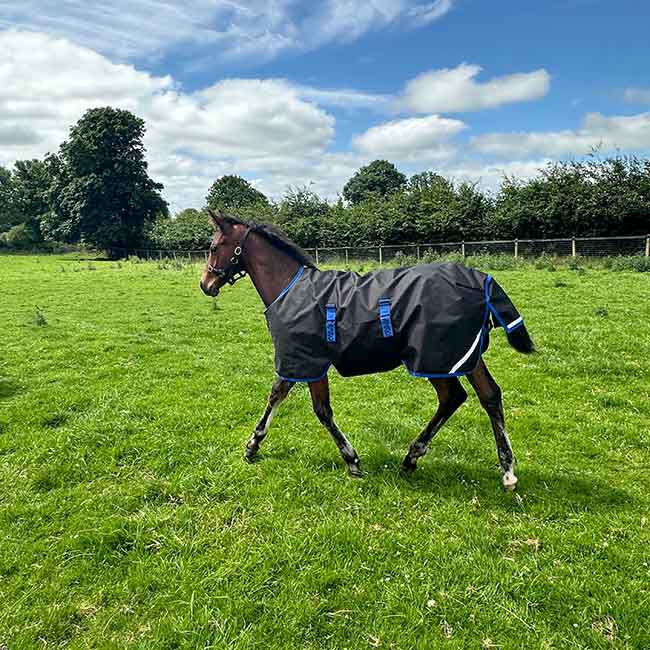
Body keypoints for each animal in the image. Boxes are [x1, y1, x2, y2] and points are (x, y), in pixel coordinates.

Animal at [199, 209, 534, 490]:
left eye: (214, 247)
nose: (205, 283)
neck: (290, 288)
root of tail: (481, 279)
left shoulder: (306, 360)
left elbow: (315, 408)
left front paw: (351, 461)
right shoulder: (301, 361)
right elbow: (283, 396)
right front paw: (253, 445)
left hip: (434, 358)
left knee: (454, 396)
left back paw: (417, 457)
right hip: (463, 356)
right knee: (488, 395)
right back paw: (503, 469)